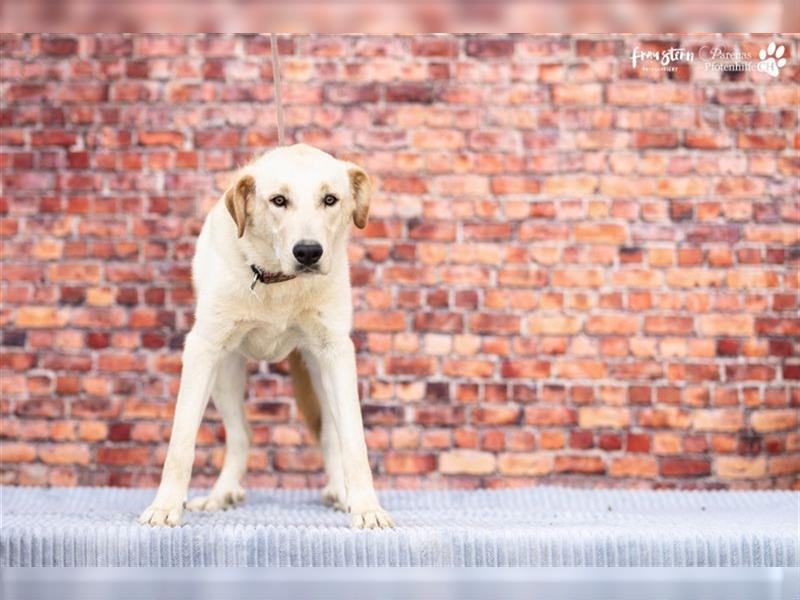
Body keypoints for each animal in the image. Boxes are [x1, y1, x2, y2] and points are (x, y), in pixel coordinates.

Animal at [141, 145, 396, 528]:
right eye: (278, 200)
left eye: (330, 199)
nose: (308, 252)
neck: (279, 282)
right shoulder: (203, 349)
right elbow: (181, 440)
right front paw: (165, 506)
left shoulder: (335, 351)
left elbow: (353, 440)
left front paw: (367, 508)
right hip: (227, 371)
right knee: (241, 435)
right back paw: (221, 494)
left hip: (316, 369)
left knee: (329, 434)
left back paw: (340, 492)